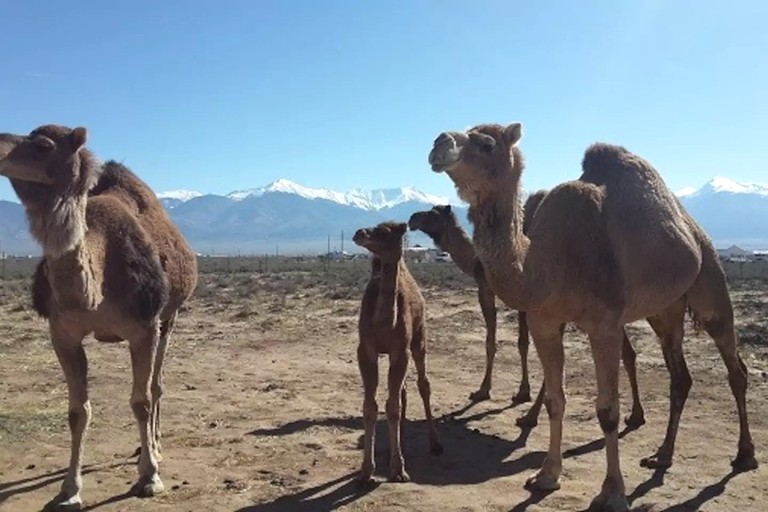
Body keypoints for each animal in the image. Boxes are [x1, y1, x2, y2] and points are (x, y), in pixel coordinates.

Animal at [0, 125, 198, 512]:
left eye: (42, 145)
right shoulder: (62, 333)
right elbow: (78, 411)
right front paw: (68, 490)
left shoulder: (144, 327)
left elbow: (141, 400)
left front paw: (149, 477)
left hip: (169, 317)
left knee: (157, 384)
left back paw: (155, 447)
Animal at [352, 222, 440, 482]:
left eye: (386, 230)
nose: (359, 233)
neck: (384, 325)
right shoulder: (366, 350)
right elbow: (370, 407)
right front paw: (366, 471)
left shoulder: (400, 350)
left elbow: (392, 407)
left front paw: (398, 469)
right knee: (402, 393)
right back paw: (401, 444)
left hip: (419, 340)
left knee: (423, 384)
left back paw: (435, 444)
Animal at [404, 201, 644, 428]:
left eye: (433, 214)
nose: (412, 218)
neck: (476, 259)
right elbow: (522, 344)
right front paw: (522, 392)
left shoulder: (486, 289)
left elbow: (491, 341)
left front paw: (483, 390)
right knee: (627, 352)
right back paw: (636, 415)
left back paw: (531, 416)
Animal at [428, 122, 760, 510]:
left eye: (486, 144)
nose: (439, 143)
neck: (547, 265)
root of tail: (692, 229)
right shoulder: (544, 323)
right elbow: (556, 400)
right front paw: (546, 476)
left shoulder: (605, 325)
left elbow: (607, 411)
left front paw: (613, 492)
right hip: (666, 309)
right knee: (680, 376)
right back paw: (662, 455)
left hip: (711, 280)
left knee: (734, 367)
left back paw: (745, 455)